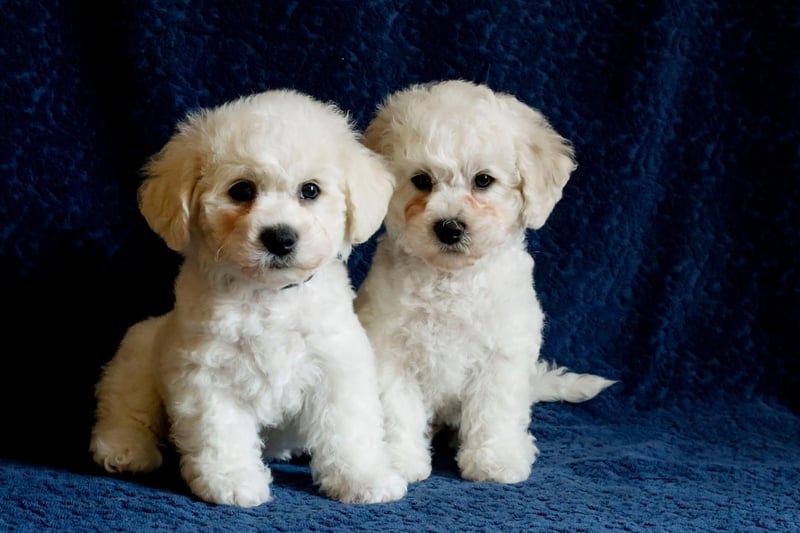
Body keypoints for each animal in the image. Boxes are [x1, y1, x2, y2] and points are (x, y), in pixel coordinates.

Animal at [90, 89, 410, 504]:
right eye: (241, 190)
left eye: (310, 190)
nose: (280, 237)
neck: (268, 295)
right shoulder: (207, 372)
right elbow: (220, 429)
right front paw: (232, 480)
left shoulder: (337, 363)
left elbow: (349, 426)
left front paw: (363, 477)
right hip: (136, 358)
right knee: (125, 408)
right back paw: (124, 449)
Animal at [354, 81, 612, 484]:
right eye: (421, 181)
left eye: (484, 180)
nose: (449, 226)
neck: (450, 278)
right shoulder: (390, 350)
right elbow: (398, 410)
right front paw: (397, 460)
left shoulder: (502, 351)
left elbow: (495, 410)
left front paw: (496, 459)